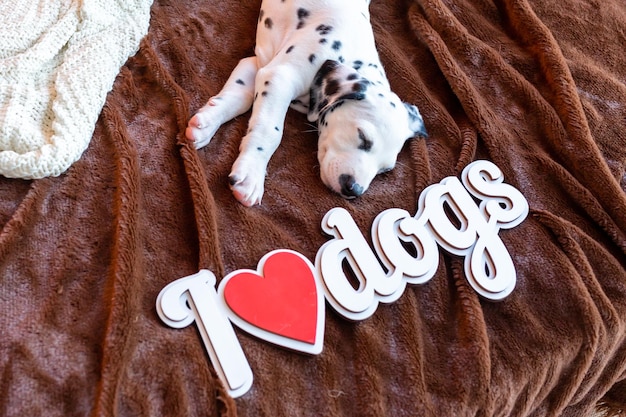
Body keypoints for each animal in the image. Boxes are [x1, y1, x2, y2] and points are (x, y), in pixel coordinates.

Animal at [185, 0, 426, 206]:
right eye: (363, 138)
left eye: (385, 170)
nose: (353, 189)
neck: (347, 52)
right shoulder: (279, 77)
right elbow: (269, 131)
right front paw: (251, 174)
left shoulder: (259, 64)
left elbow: (238, 97)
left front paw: (206, 123)